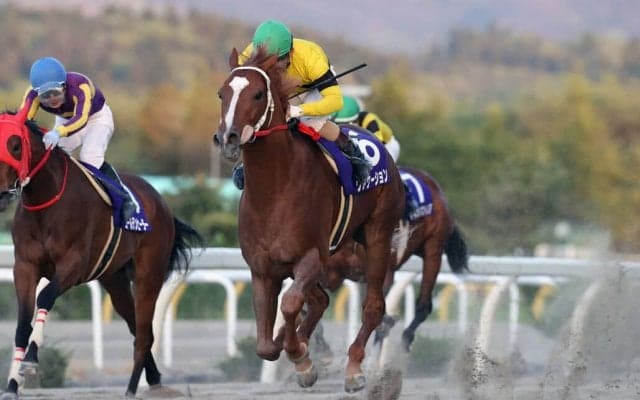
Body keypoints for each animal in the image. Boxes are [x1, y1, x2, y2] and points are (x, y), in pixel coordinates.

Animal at [0, 107, 203, 399]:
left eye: (15, 146)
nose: (2, 193)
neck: (47, 201)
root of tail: (161, 201)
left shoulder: (73, 265)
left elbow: (46, 297)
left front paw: (30, 362)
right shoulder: (25, 266)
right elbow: (22, 322)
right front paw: (12, 386)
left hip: (148, 274)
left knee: (144, 333)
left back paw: (132, 388)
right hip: (114, 279)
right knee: (135, 326)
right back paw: (154, 380)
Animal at [214, 48, 405, 393]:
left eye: (258, 94)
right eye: (222, 93)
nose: (228, 138)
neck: (274, 189)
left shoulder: (312, 257)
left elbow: (290, 305)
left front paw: (301, 358)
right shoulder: (262, 268)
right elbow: (266, 344)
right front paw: (297, 353)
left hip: (378, 234)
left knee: (373, 307)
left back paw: (354, 367)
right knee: (319, 300)